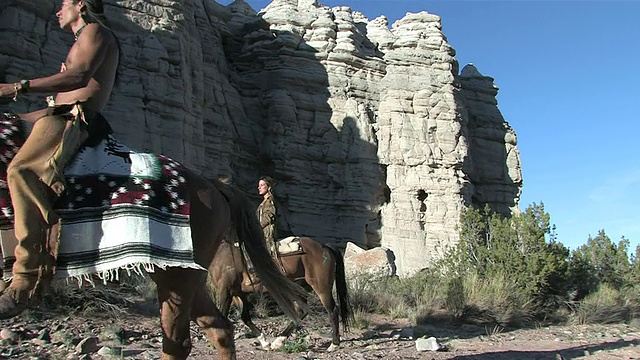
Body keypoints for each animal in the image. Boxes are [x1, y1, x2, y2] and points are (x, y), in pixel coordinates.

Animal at [210, 236, 352, 348]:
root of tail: (324, 247)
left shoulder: (225, 291)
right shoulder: (237, 293)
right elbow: (245, 317)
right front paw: (264, 341)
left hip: (321, 287)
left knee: (332, 310)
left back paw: (334, 344)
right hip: (299, 288)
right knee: (302, 311)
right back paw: (278, 341)